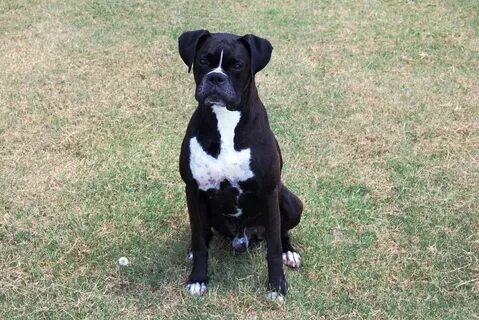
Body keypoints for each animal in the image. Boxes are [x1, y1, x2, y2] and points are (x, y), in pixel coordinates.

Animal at [178, 29, 302, 300]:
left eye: (236, 65)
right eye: (203, 60)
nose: (216, 78)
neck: (225, 118)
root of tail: (243, 237)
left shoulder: (269, 192)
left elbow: (273, 247)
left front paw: (276, 286)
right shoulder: (193, 190)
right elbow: (200, 242)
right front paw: (197, 278)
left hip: (291, 201)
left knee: (282, 233)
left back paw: (289, 252)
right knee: (203, 233)